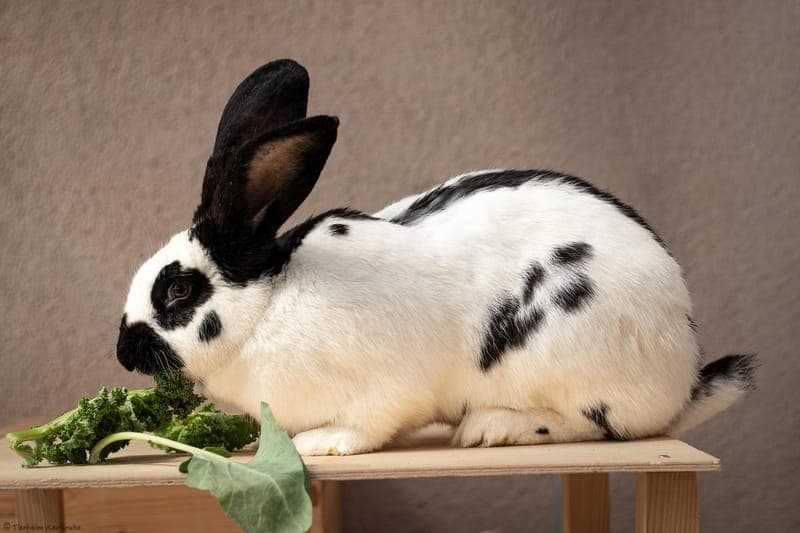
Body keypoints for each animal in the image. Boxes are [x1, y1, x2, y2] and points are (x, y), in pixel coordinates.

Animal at [116, 59, 756, 456]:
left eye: (178, 290)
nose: (123, 353)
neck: (268, 307)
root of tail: (683, 374)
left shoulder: (384, 390)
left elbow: (369, 424)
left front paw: (320, 444)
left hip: (571, 364)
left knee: (595, 427)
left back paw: (493, 427)